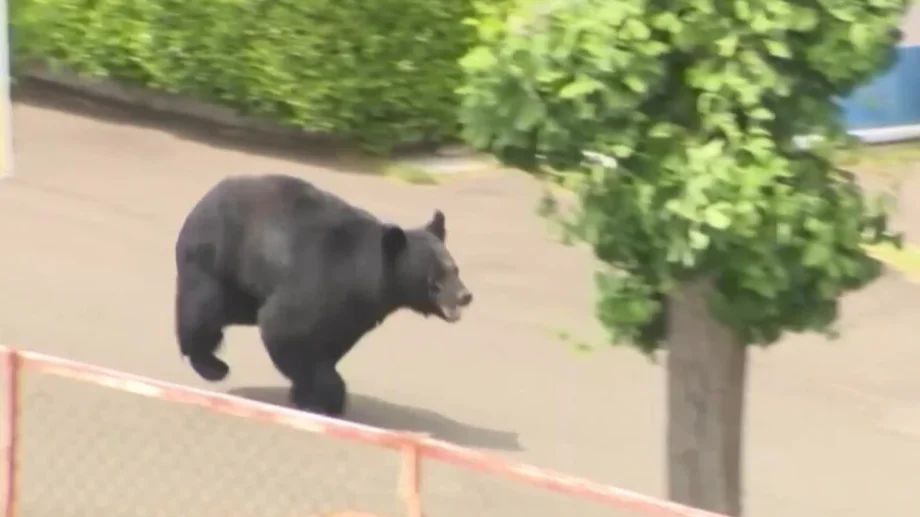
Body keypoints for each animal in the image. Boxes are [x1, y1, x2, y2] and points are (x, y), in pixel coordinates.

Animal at [174, 173, 473, 417]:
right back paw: (211, 365)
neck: (365, 276)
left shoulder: (355, 310)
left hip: (242, 286)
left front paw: (310, 395)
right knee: (204, 308)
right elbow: (287, 330)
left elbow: (331, 340)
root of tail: (208, 195)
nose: (465, 296)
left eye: (455, 269)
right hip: (214, 258)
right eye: (435, 280)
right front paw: (327, 398)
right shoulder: (319, 280)